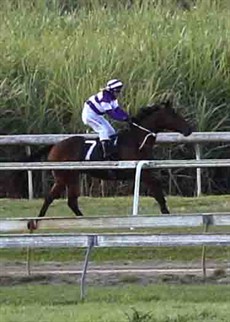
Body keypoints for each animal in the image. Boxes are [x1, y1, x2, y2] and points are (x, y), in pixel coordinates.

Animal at [27, 100, 192, 229]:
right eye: (174, 114)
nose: (189, 130)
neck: (135, 140)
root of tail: (55, 145)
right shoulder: (142, 172)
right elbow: (157, 191)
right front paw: (166, 214)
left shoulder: (145, 170)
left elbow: (157, 190)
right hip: (63, 177)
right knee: (50, 197)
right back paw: (35, 222)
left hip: (73, 177)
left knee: (71, 201)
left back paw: (85, 220)